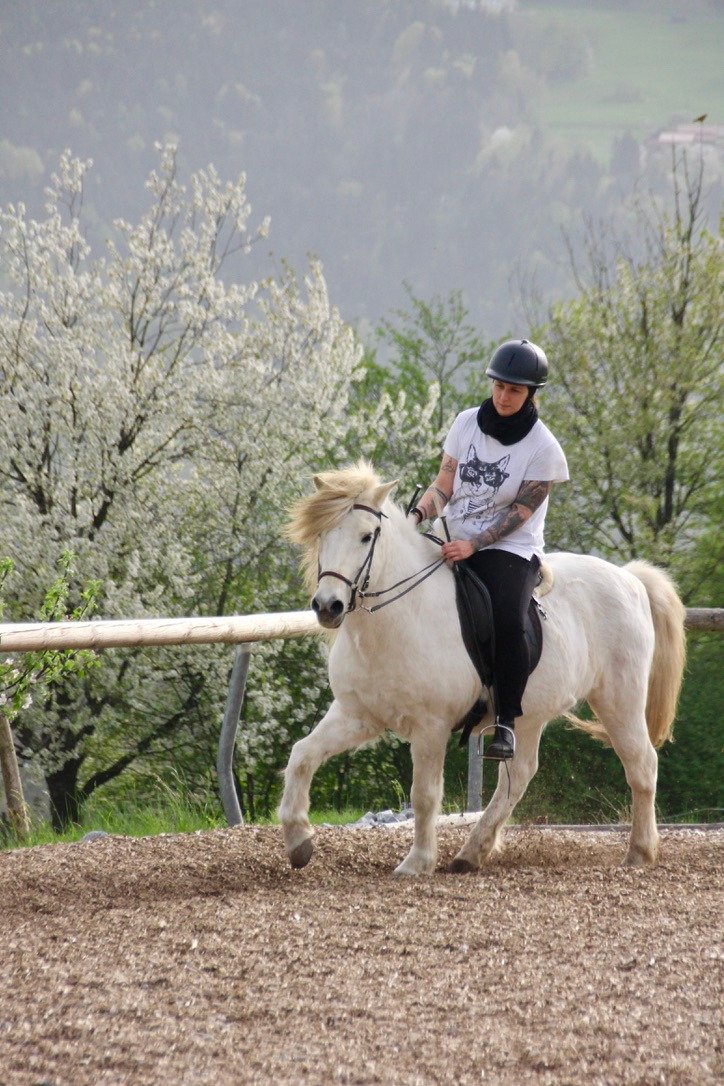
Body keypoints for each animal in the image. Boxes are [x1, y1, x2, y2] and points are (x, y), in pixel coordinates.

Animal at [279, 463, 686, 875]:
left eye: (366, 536)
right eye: (322, 534)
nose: (328, 606)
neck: (398, 618)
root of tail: (630, 577)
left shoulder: (431, 726)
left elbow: (424, 794)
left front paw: (417, 862)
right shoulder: (357, 714)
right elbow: (302, 756)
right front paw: (299, 841)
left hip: (619, 700)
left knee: (641, 764)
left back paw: (639, 852)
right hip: (528, 714)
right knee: (519, 775)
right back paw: (472, 852)